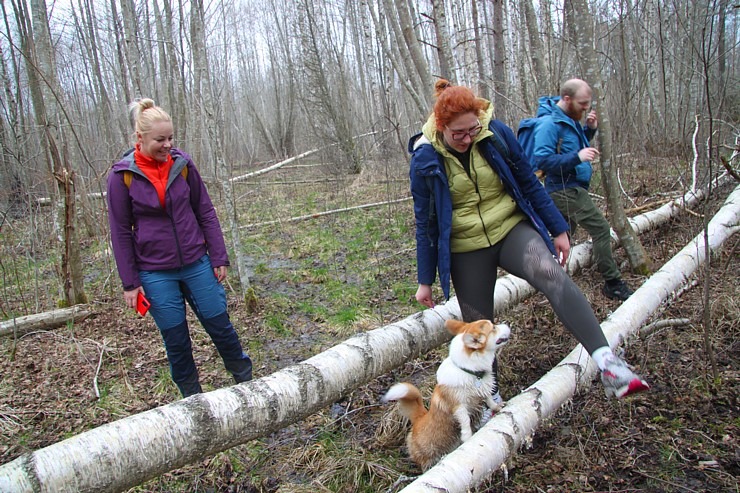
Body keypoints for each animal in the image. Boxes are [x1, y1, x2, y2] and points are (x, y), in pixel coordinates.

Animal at [382, 320, 508, 468]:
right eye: (493, 328)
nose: (507, 325)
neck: (469, 371)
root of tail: (419, 418)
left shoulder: (483, 390)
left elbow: (489, 400)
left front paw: (497, 407)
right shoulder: (458, 406)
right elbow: (465, 420)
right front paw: (468, 436)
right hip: (427, 457)